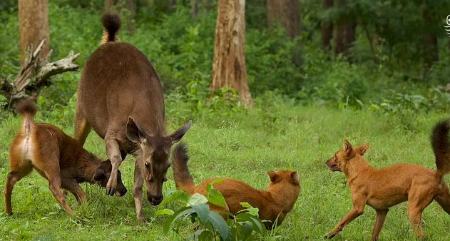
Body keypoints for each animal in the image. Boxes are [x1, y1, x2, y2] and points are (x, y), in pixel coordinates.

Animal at [74, 12, 191, 220]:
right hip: (81, 108)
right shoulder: (111, 133)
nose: (156, 198)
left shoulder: (138, 149)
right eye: (148, 164)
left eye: (168, 165)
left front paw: (140, 216)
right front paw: (110, 186)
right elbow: (116, 159)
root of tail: (109, 41)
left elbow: (137, 186)